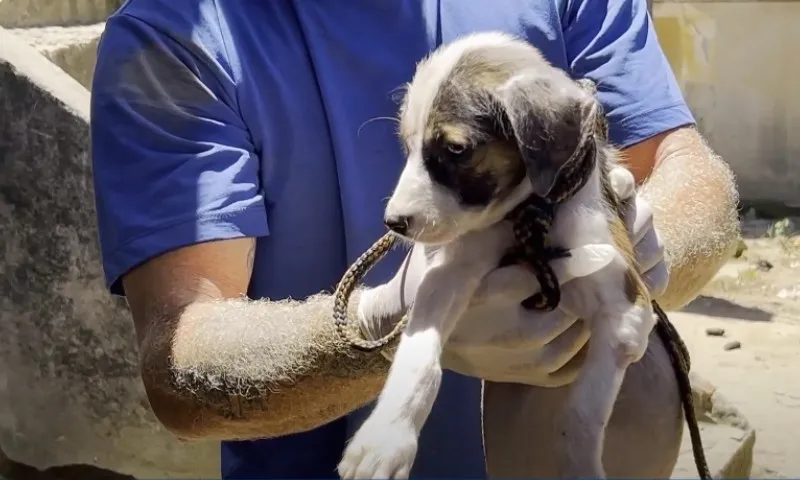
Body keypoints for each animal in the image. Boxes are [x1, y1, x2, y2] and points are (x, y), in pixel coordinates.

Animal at [338, 31, 656, 478]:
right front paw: (386, 440)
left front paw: (580, 466)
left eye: (456, 149)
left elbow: (580, 415)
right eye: (407, 146)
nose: (394, 223)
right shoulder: (446, 275)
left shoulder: (626, 308)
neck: (528, 216)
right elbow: (418, 359)